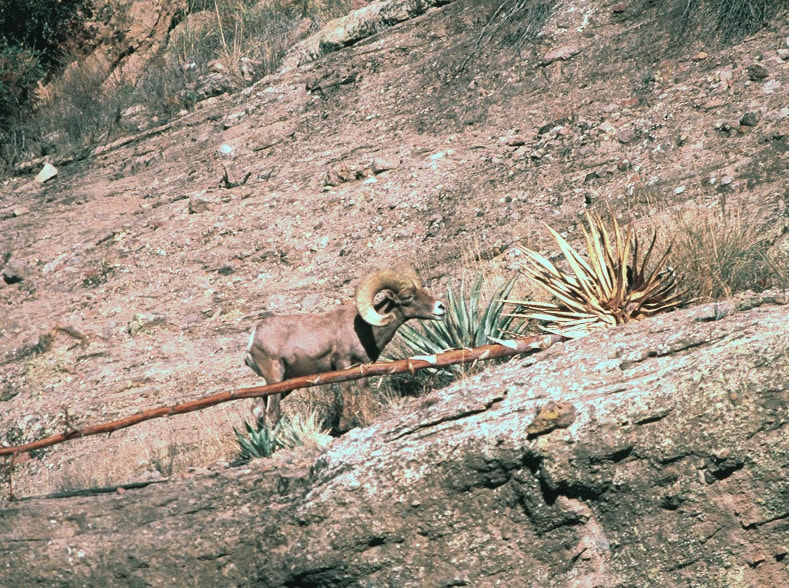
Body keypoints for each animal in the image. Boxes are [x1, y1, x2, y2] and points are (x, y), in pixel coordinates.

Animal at [245, 266, 446, 431]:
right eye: (408, 297)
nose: (441, 308)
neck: (366, 329)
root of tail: (252, 340)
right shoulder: (342, 363)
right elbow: (347, 392)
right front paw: (344, 425)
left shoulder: (362, 367)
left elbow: (364, 391)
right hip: (276, 377)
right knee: (272, 411)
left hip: (284, 382)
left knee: (257, 407)